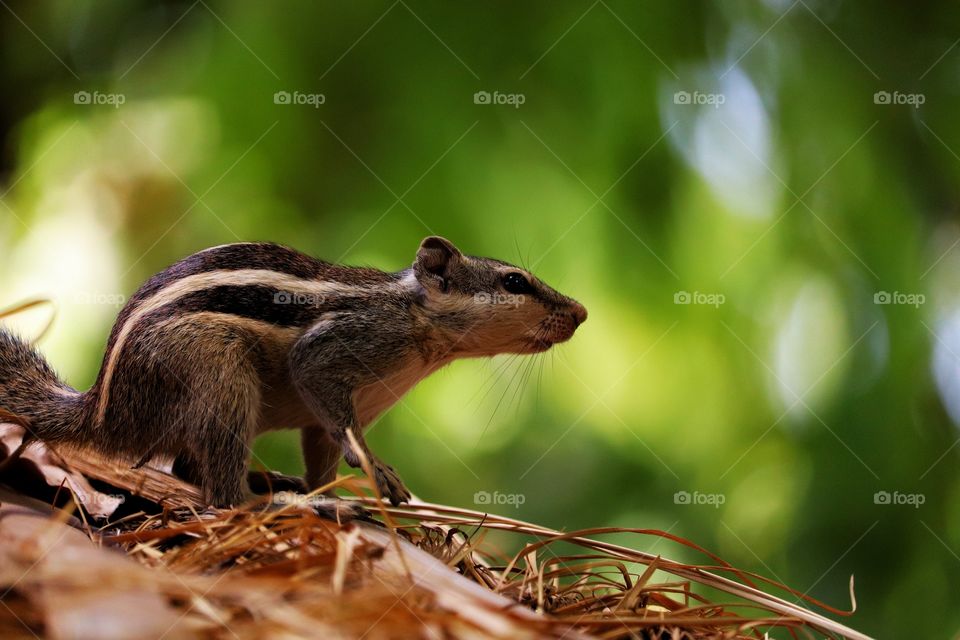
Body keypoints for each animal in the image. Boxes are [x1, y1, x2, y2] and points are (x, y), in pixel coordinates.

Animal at [0, 237, 587, 509]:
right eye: (514, 282)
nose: (580, 312)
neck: (415, 317)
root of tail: (105, 410)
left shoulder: (327, 414)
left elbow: (325, 453)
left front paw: (334, 492)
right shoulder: (332, 353)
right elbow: (339, 419)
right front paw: (376, 469)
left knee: (189, 466)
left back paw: (279, 484)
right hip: (221, 375)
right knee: (217, 490)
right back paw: (261, 499)